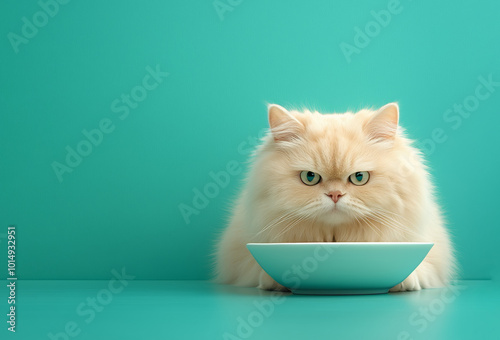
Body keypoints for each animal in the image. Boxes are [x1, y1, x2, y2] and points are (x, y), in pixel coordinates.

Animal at [213, 103, 456, 292]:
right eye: (310, 177)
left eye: (359, 177)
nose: (335, 194)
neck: (335, 239)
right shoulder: (242, 260)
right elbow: (257, 270)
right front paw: (274, 281)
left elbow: (422, 268)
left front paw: (406, 280)